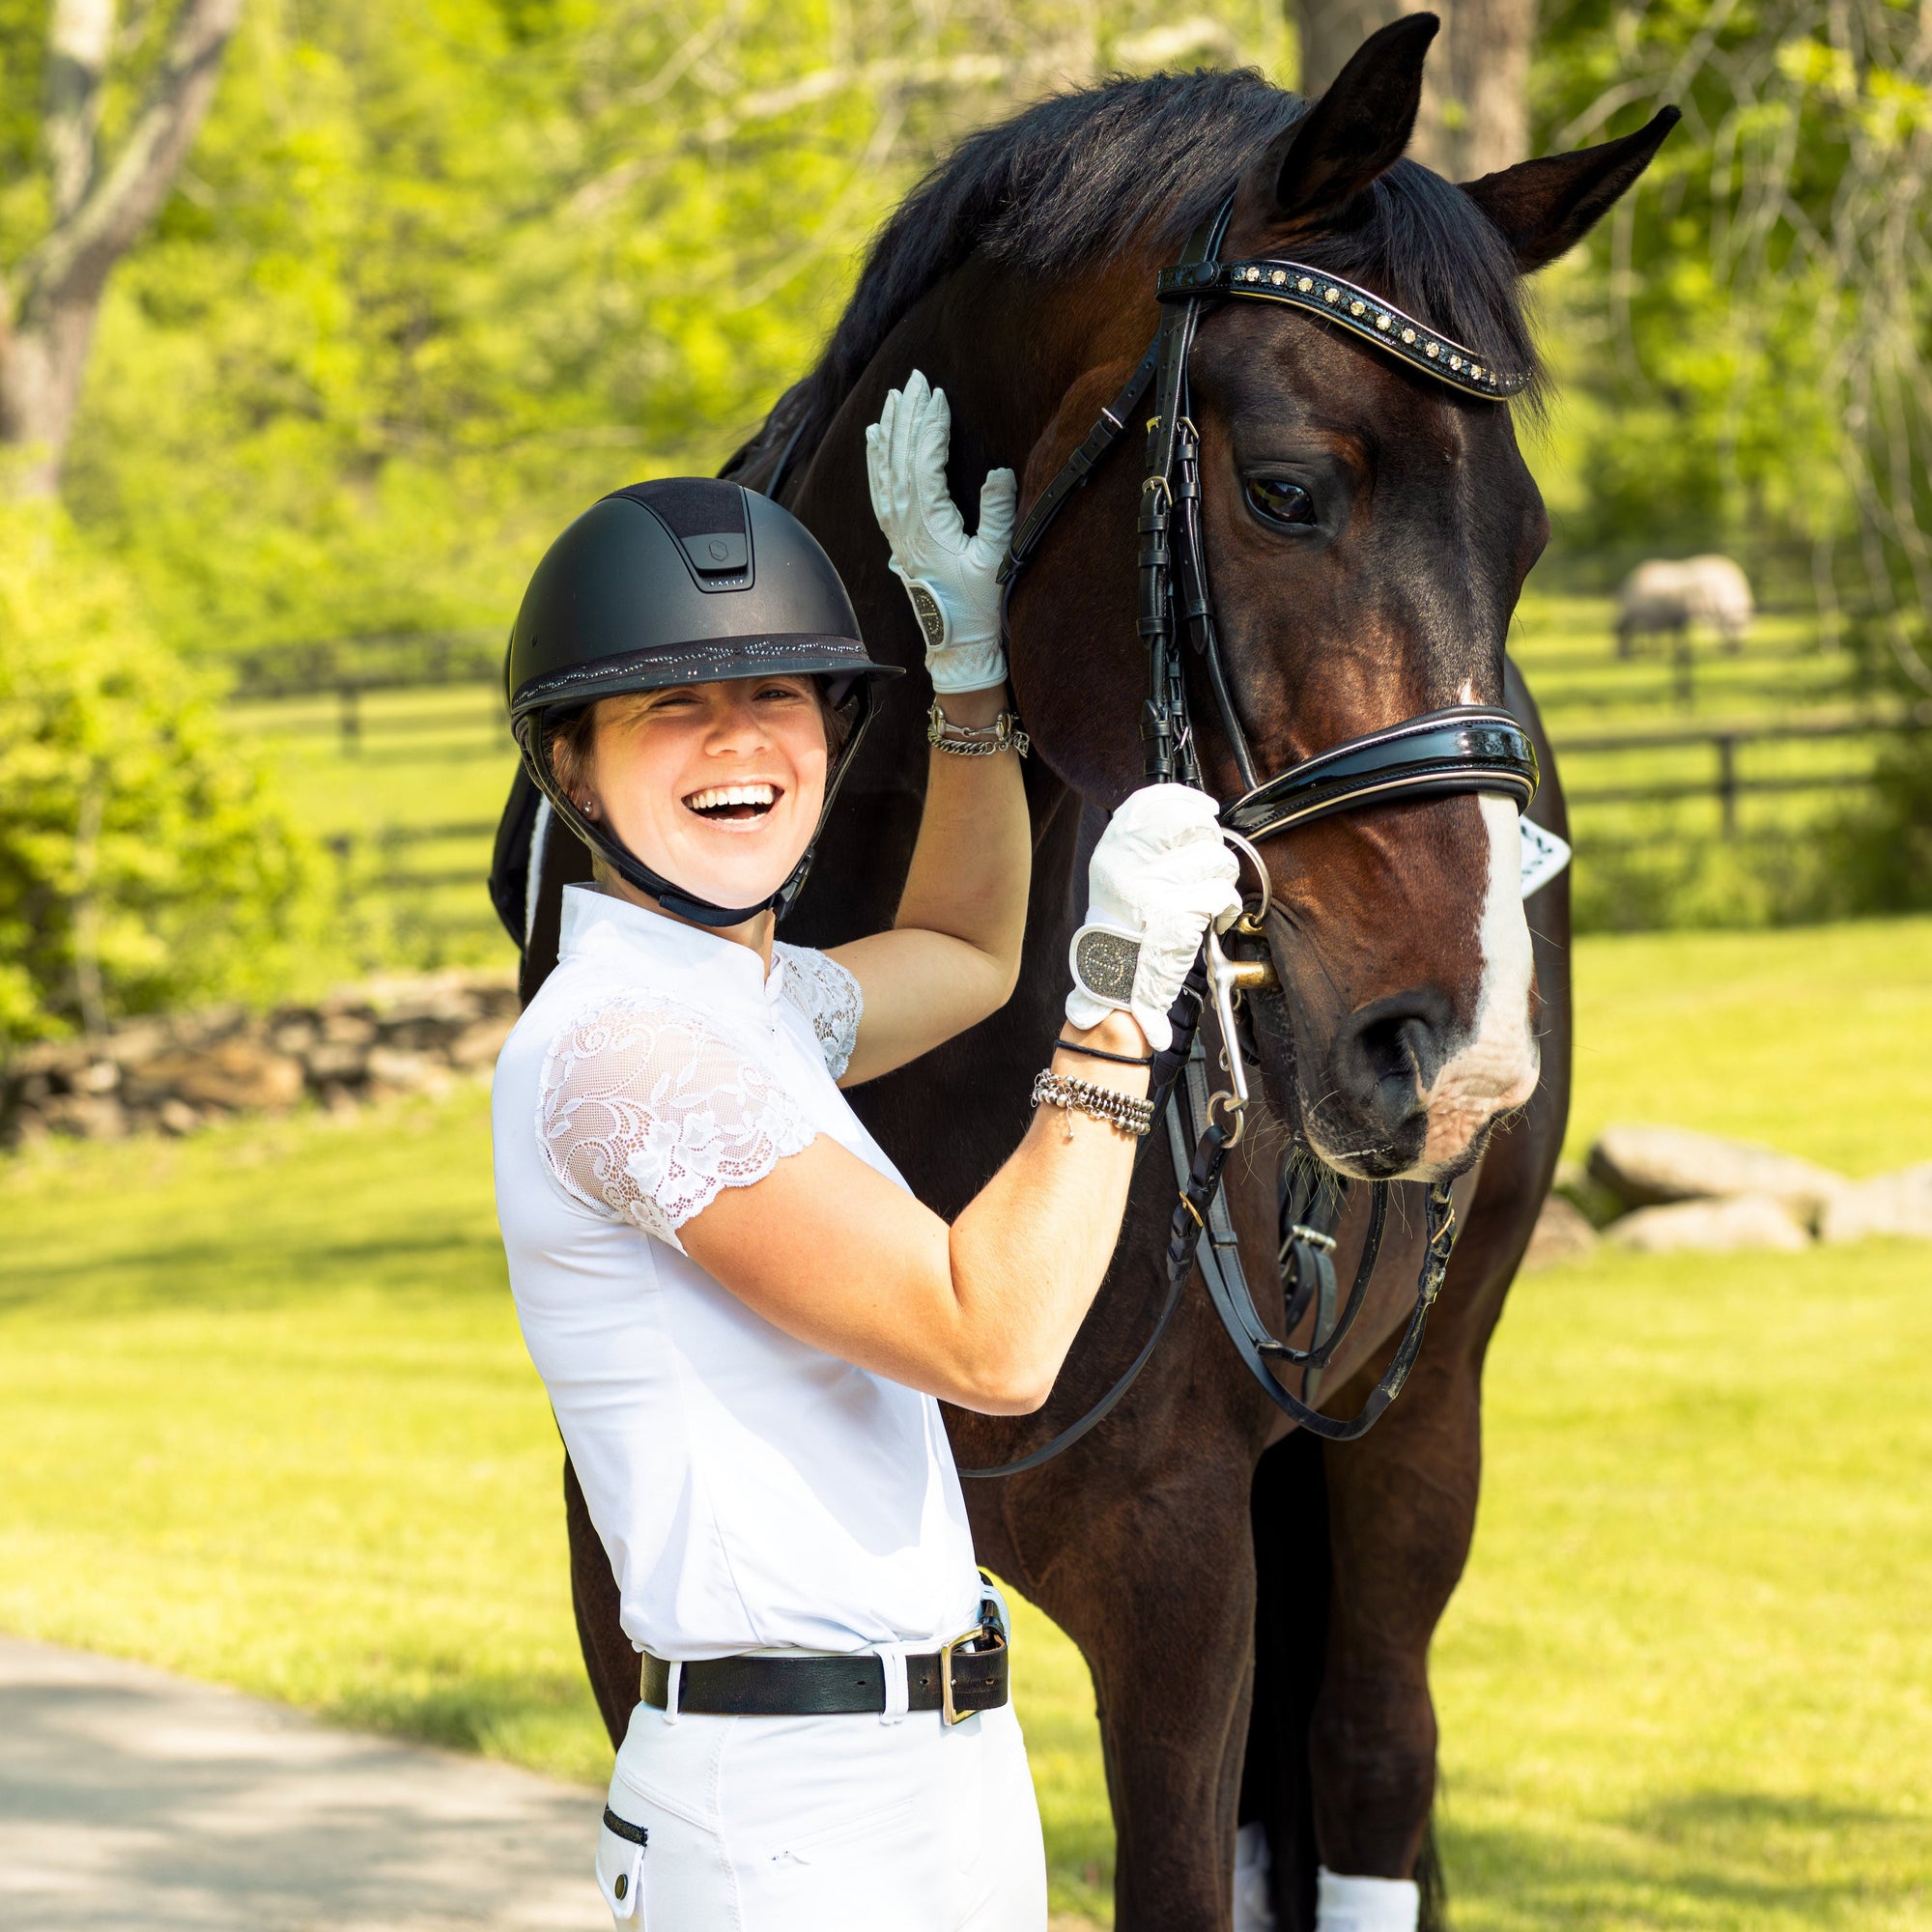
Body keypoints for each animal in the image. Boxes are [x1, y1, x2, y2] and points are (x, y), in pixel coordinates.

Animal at [526, 18, 1677, 1932]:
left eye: (1521, 544)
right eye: (1288, 490)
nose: (1459, 1056)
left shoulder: (1181, 1585)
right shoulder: (627, 1606)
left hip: (1414, 1434)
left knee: (1374, 1756)